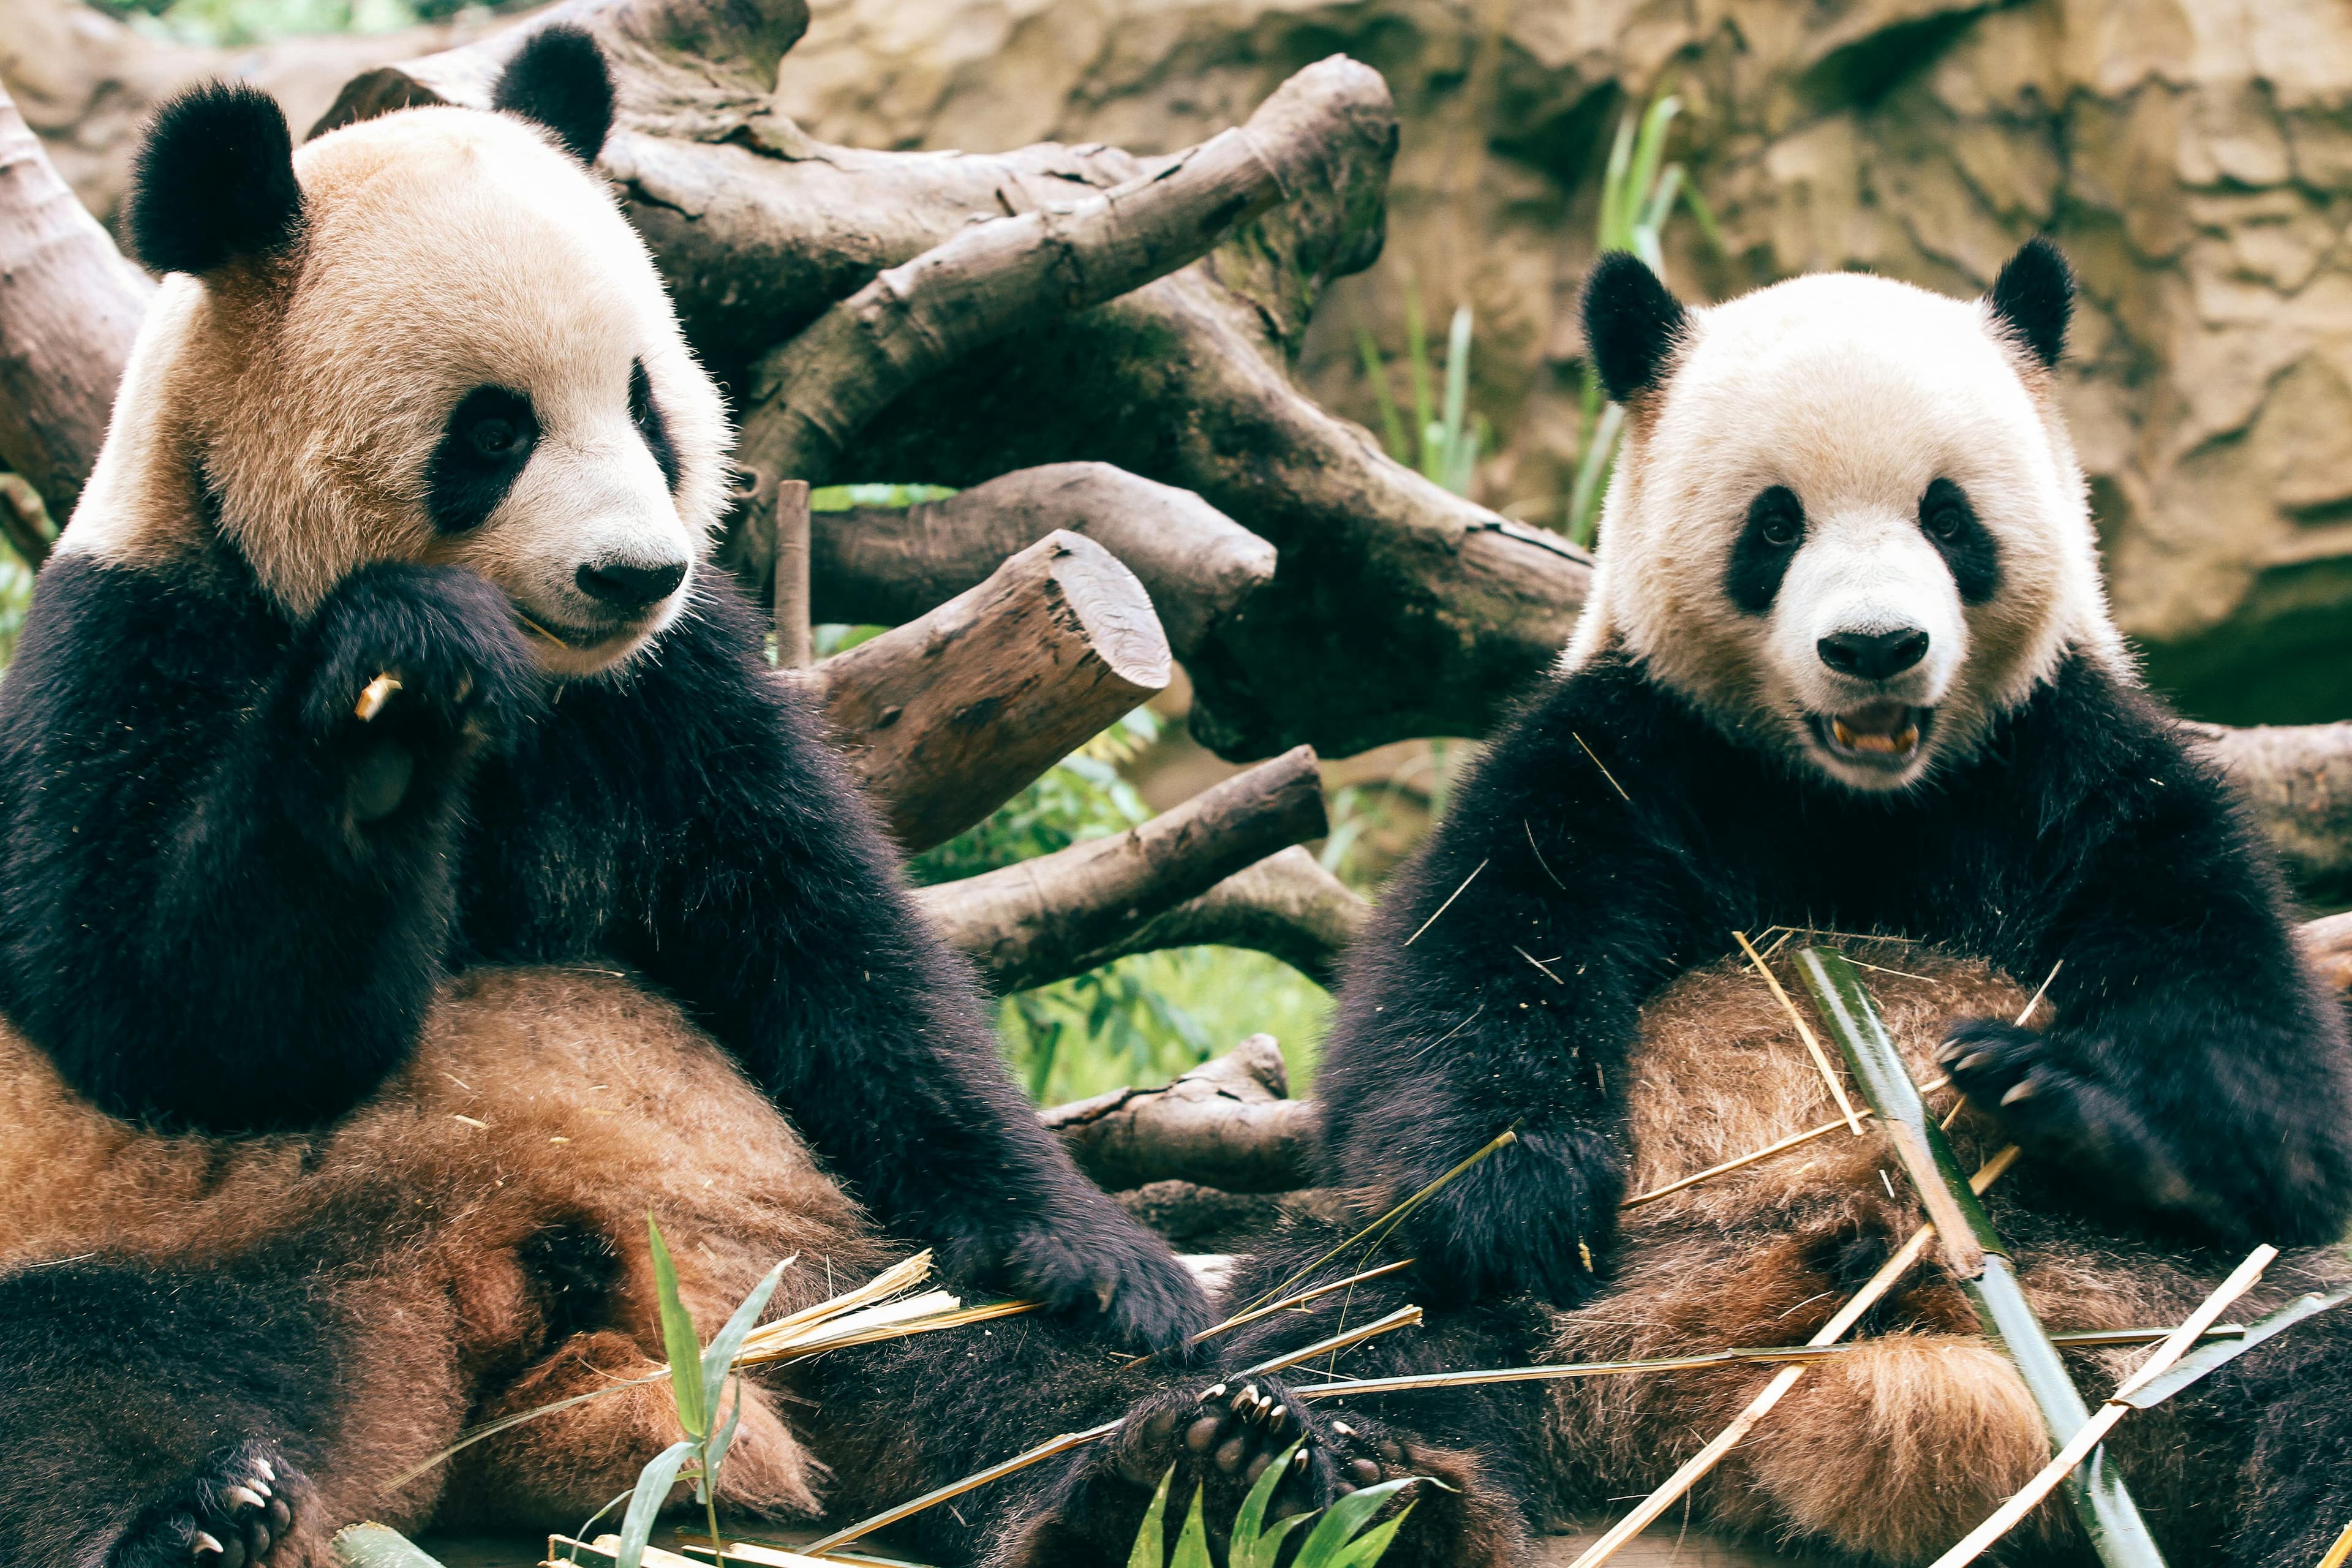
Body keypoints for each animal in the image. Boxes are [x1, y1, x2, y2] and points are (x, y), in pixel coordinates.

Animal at [0, 28, 1223, 1568]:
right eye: (492, 431)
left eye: (648, 401)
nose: (634, 571)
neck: (539, 695)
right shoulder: (135, 644)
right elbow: (173, 1023)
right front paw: (396, 697)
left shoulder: (674, 695)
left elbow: (834, 961)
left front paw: (1097, 1253)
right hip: (177, 1246)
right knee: (73, 1374)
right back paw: (196, 1512)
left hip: (788, 1253)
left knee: (971, 1348)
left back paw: (1174, 1462)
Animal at [1006, 246, 2352, 1568]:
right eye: (1776, 524)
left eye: (1948, 514)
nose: (1876, 646)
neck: (1861, 801)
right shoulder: (1626, 750)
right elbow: (1473, 980)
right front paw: (1521, 1194)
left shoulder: (2074, 767)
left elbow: (2262, 1074)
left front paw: (2046, 1089)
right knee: (1365, 1306)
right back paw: (1260, 1474)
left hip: (2158, 1300)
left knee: (2309, 1355)